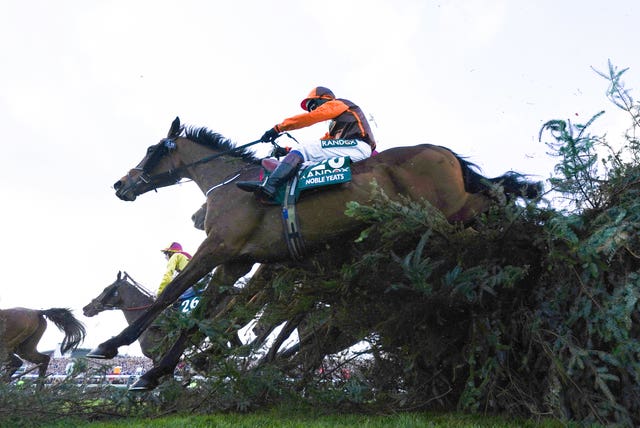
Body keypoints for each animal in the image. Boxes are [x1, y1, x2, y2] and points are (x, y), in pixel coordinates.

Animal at [87, 117, 544, 392]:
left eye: (152, 150)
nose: (120, 184)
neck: (232, 181)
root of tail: (444, 152)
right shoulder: (236, 260)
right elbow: (207, 314)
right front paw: (158, 372)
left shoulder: (217, 248)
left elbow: (173, 296)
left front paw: (110, 346)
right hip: (454, 212)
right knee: (496, 196)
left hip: (446, 212)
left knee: (493, 203)